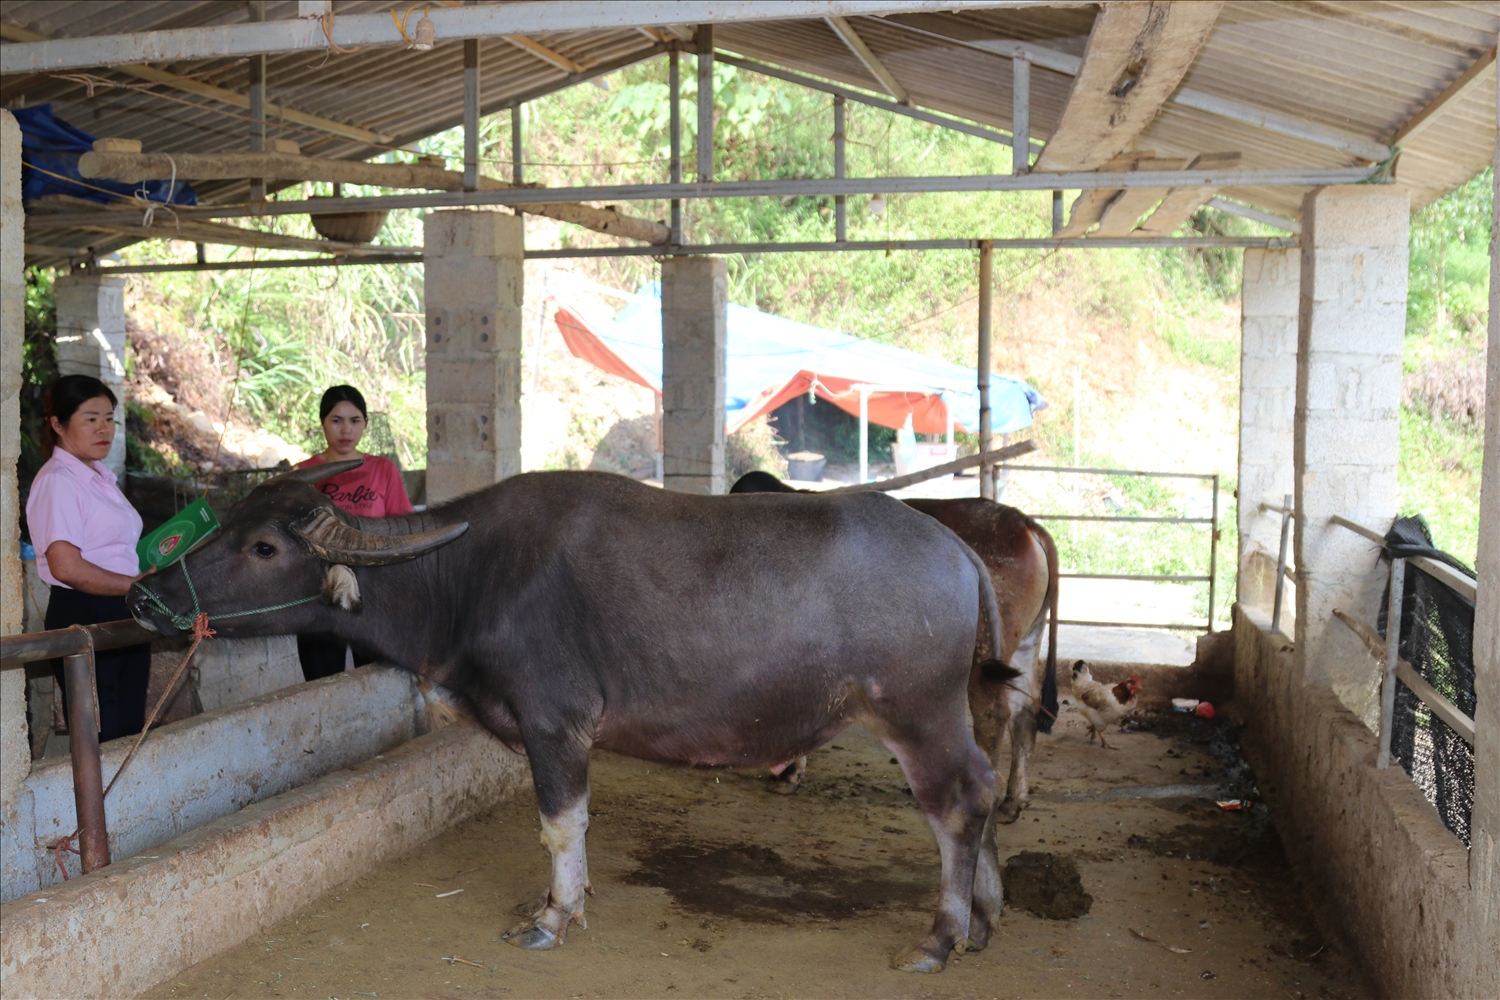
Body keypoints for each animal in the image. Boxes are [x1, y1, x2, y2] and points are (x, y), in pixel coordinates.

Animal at [129, 464, 1020, 971]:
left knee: (957, 802)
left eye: (266, 548)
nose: (146, 595)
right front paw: (571, 900)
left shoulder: (553, 722)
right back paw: (984, 914)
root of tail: (957, 552)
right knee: (978, 789)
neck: (465, 576)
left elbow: (562, 824)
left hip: (918, 713)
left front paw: (554, 916)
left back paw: (941, 935)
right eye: (226, 524)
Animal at [732, 473, 1062, 827]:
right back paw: (1013, 801)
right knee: (1025, 712)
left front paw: (788, 774)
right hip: (1026, 642)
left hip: (987, 646)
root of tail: (1025, 523)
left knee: (993, 713)